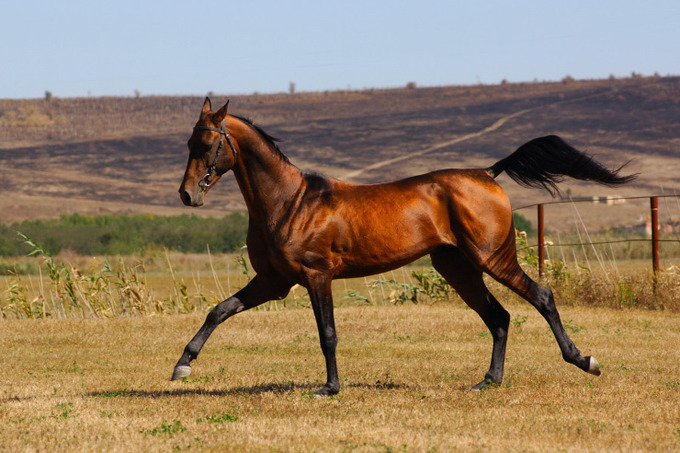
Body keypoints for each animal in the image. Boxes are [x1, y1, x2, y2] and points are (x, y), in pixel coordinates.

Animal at [171, 97, 636, 394]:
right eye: (188, 143)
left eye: (209, 144)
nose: (188, 196)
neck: (290, 201)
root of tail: (487, 173)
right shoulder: (273, 282)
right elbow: (219, 311)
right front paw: (182, 366)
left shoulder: (316, 276)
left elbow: (327, 334)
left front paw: (330, 388)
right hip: (457, 268)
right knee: (499, 317)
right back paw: (488, 381)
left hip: (493, 259)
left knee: (541, 296)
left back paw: (584, 361)